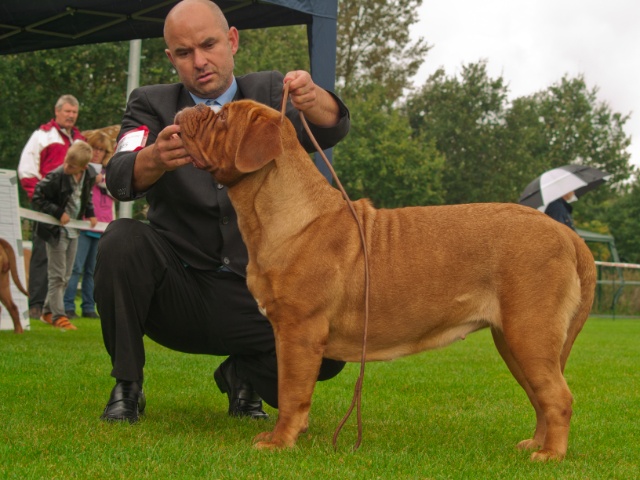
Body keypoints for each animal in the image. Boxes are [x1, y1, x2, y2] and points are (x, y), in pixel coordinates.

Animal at [175, 98, 596, 462]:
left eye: (223, 117)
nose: (190, 108)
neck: (283, 213)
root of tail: (567, 234)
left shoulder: (299, 331)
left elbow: (291, 391)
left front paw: (280, 442)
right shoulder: (288, 334)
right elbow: (291, 388)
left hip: (530, 332)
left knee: (557, 396)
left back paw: (550, 455)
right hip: (513, 340)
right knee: (540, 395)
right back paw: (535, 444)